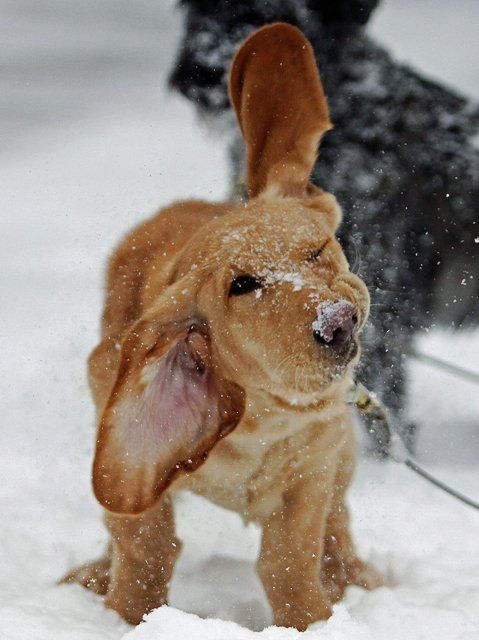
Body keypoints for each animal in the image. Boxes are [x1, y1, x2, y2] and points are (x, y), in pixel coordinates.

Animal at [65, 23, 382, 632]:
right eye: (243, 284)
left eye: (319, 251)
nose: (337, 322)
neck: (263, 415)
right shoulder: (127, 453)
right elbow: (143, 542)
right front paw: (128, 618)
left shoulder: (317, 458)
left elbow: (291, 555)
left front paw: (313, 621)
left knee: (340, 521)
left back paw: (355, 577)